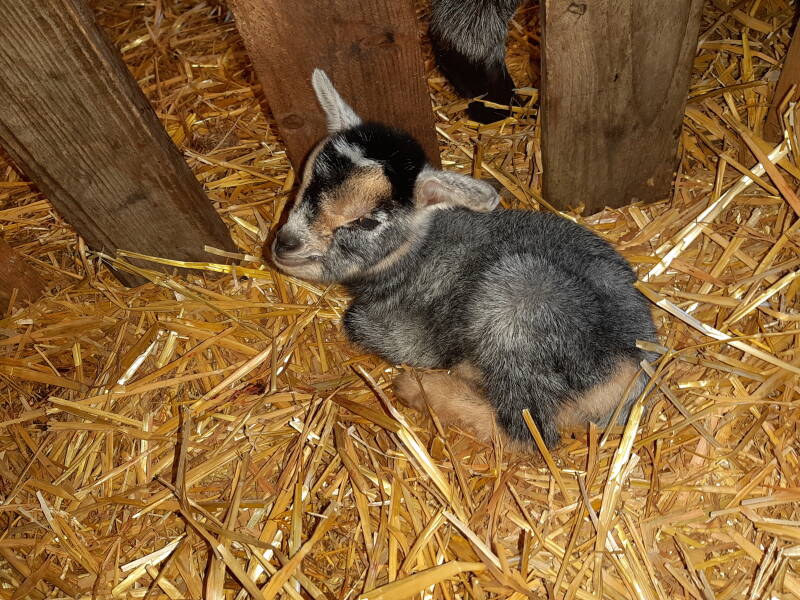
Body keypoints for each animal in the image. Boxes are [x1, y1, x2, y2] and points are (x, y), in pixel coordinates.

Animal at [271, 69, 657, 450]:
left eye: (366, 220)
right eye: (305, 181)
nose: (284, 245)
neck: (417, 252)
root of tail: (629, 367)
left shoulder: (407, 331)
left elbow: (358, 323)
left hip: (514, 310)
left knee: (525, 433)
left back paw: (420, 386)